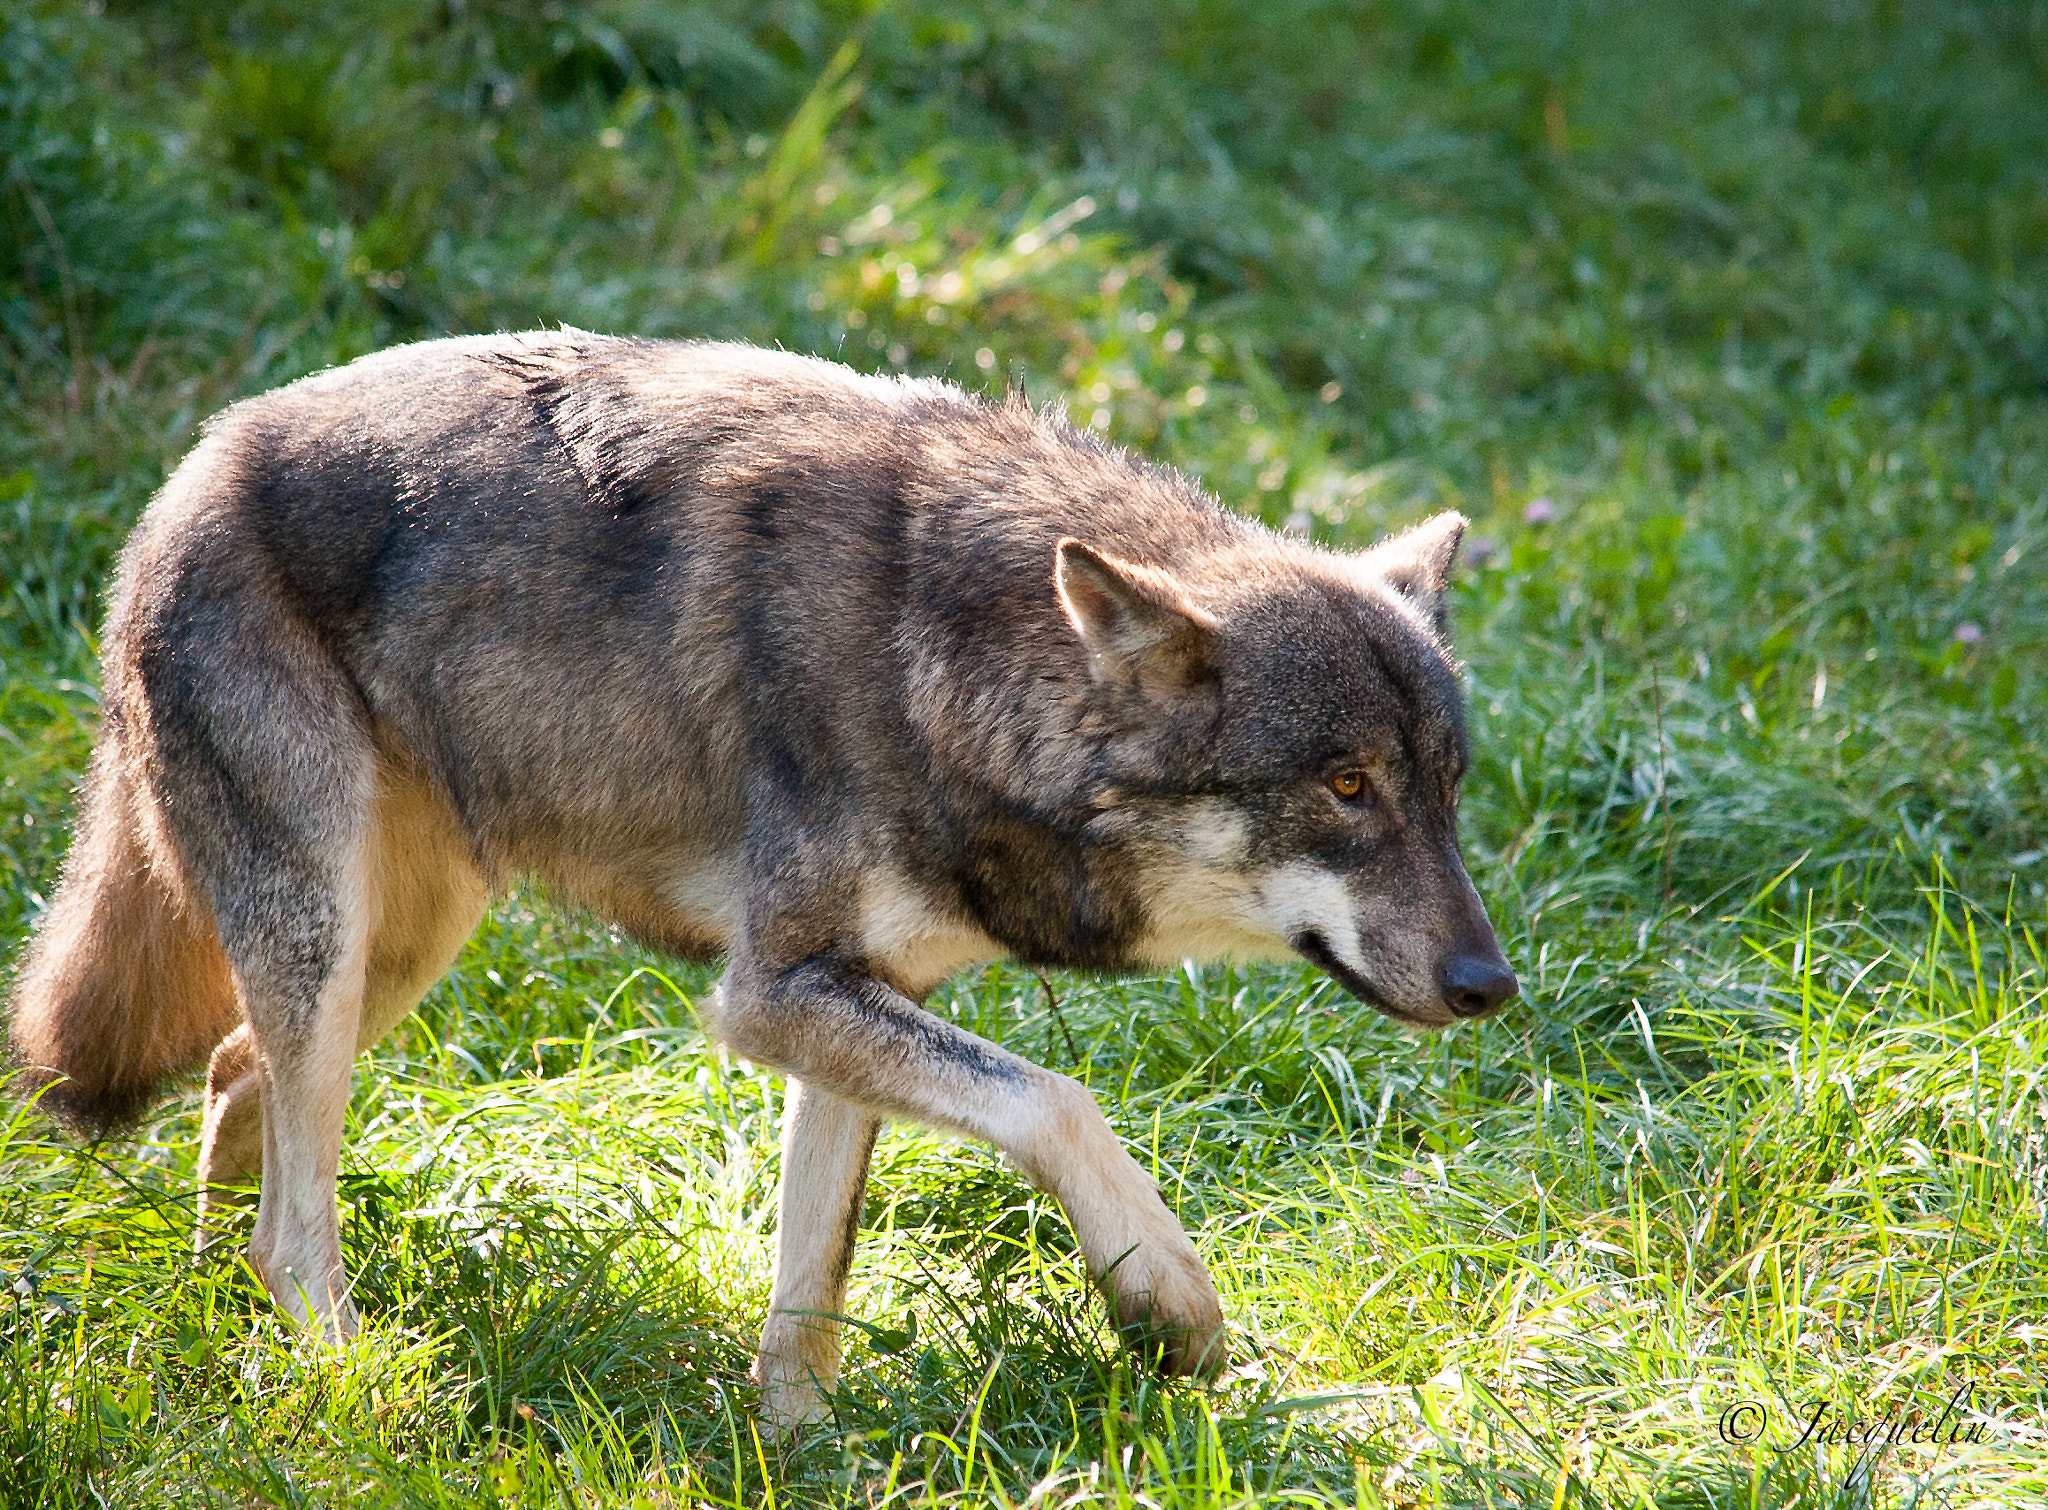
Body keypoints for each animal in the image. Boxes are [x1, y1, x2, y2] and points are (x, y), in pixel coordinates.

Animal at [6, 331, 1516, 1425]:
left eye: (1445, 789)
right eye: (1346, 786)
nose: (1490, 983)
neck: (943, 663)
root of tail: (188, 471)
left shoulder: (848, 999)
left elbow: (814, 1282)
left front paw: (800, 1443)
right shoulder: (771, 995)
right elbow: (1061, 1102)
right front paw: (1168, 1305)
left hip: (399, 945)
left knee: (233, 1080)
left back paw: (215, 1309)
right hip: (337, 941)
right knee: (288, 1196)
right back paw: (343, 1372)